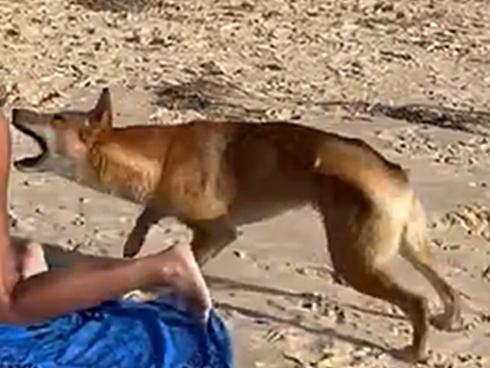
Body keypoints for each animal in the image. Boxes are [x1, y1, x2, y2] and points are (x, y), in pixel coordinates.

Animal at [11, 87, 464, 360]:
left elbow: (179, 261)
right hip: (408, 248)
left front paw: (149, 287)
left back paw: (415, 350)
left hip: (354, 264)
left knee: (417, 300)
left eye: (56, 118)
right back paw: (448, 319)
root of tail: (394, 174)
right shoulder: (168, 208)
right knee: (445, 287)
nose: (13, 107)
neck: (160, 158)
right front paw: (136, 244)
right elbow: (147, 218)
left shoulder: (217, 232)